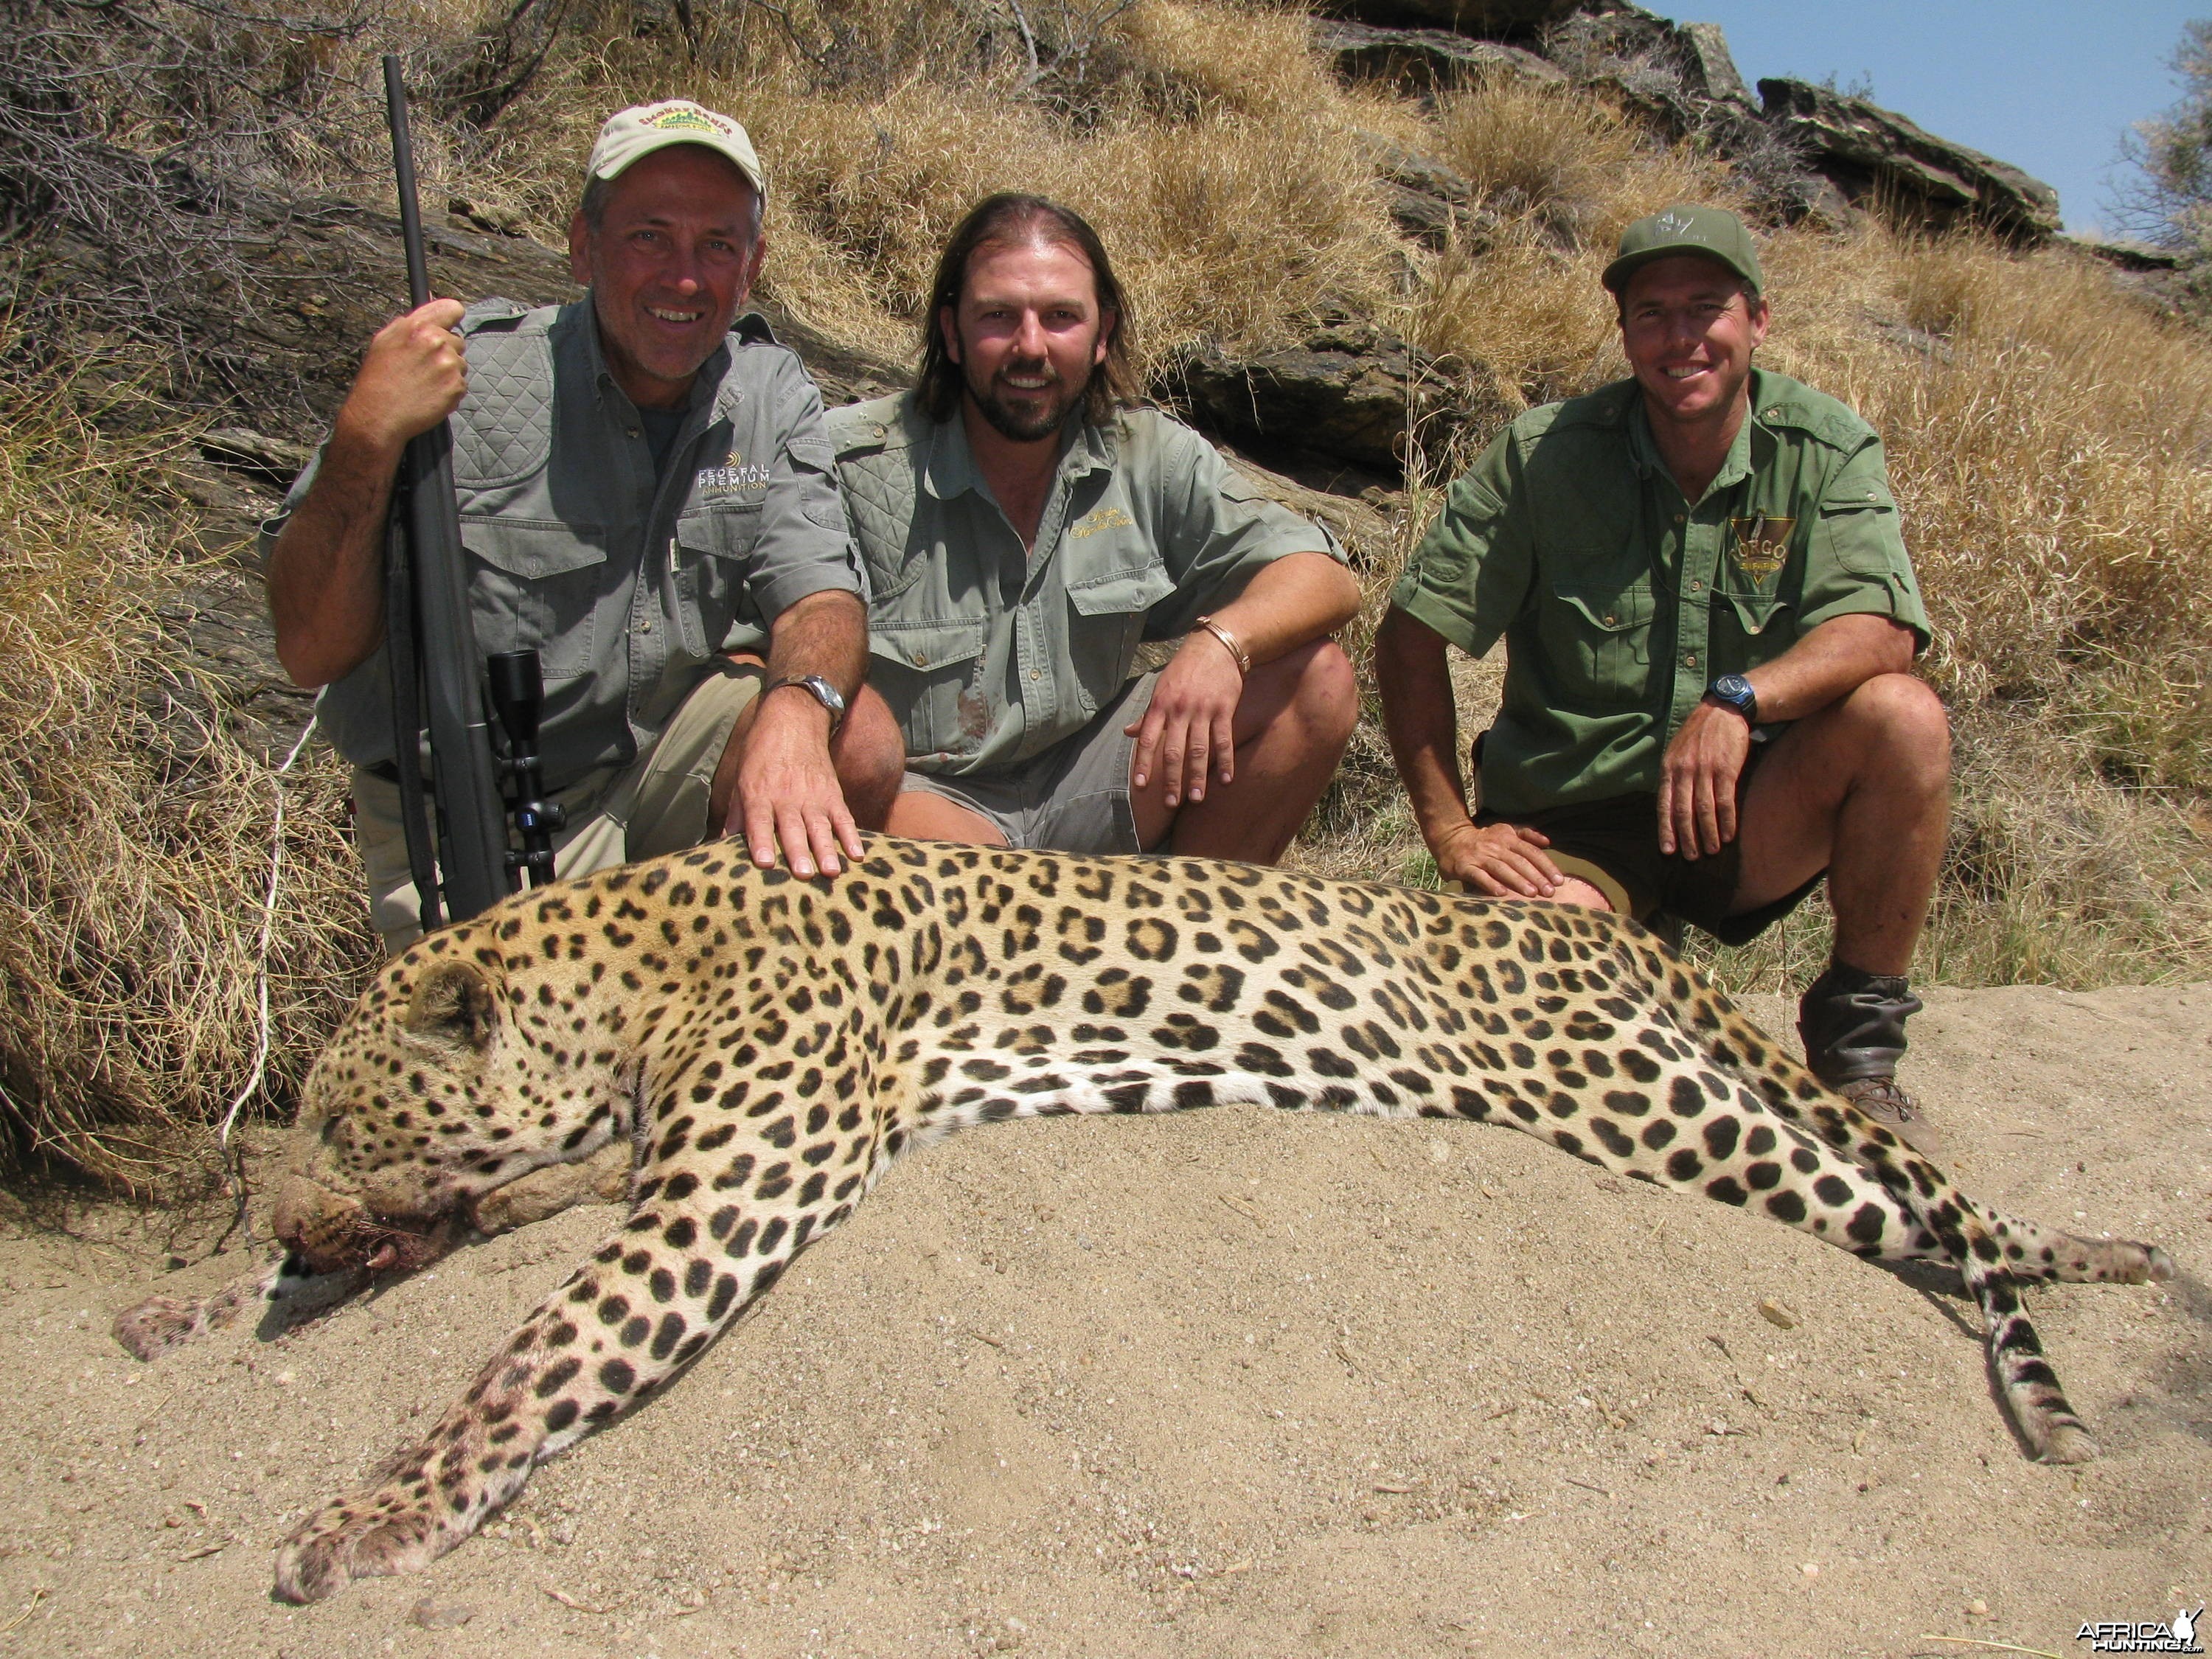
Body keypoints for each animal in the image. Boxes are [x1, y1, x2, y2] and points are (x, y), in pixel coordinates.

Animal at [251, 836, 2168, 1601]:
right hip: (1652, 1093)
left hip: (1628, 1093)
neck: (634, 969)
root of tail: (1594, 925)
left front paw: (369, 1516)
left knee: (1924, 1210)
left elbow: (535, 1358)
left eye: (337, 1113)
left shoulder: (741, 1179)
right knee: (1901, 1211)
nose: (275, 1232)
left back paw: (2108, 1276)